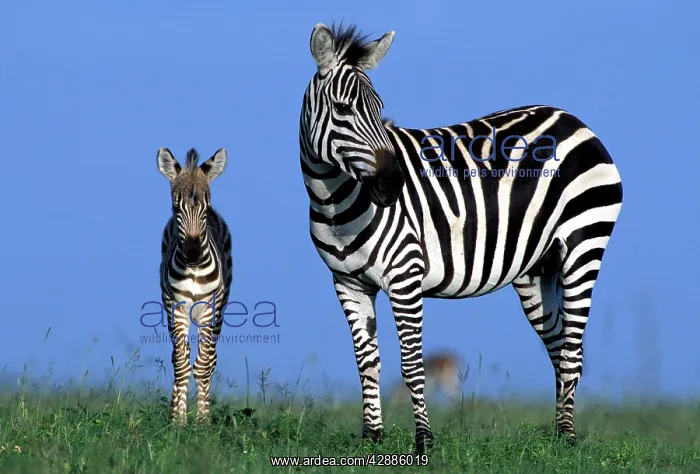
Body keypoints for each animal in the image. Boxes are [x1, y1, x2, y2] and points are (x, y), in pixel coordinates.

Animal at [156, 147, 233, 425]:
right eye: (175, 208)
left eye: (205, 209)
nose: (191, 253)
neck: (193, 270)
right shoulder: (175, 308)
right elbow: (181, 363)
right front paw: (178, 421)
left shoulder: (209, 309)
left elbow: (202, 365)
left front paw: (202, 421)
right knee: (179, 357)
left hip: (221, 307)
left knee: (210, 359)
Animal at [299, 23, 623, 453]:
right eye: (342, 109)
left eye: (380, 108)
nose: (392, 185)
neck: (334, 201)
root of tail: (571, 118)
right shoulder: (348, 282)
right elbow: (367, 361)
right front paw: (372, 438)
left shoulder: (405, 275)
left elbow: (412, 363)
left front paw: (423, 440)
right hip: (537, 268)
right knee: (558, 345)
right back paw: (558, 434)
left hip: (584, 243)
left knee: (571, 349)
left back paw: (569, 439)